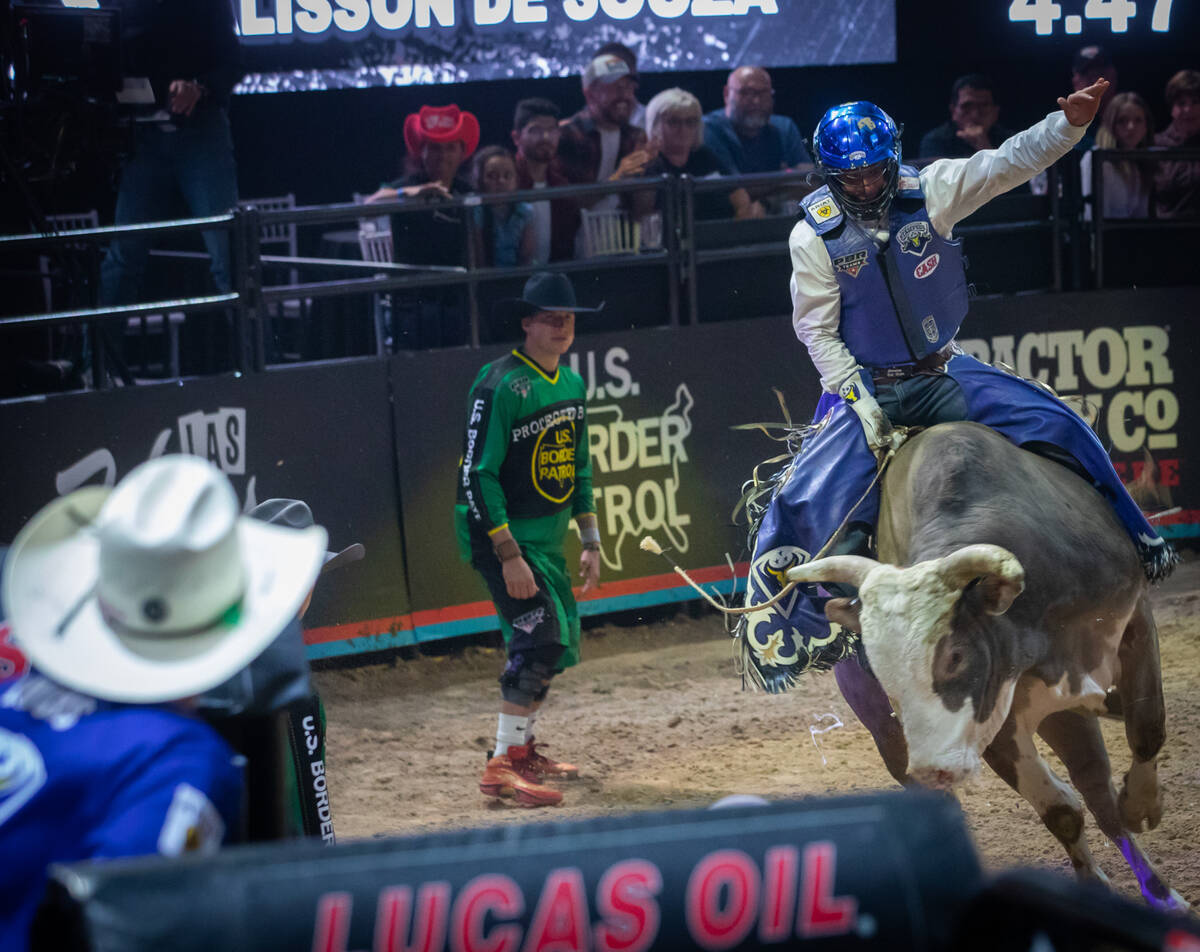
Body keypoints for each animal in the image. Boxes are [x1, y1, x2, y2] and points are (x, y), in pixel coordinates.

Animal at [782, 422, 1185, 907]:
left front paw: (1143, 807)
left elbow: (1147, 725)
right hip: (892, 734)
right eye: (879, 666)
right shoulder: (992, 712)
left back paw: (1161, 894)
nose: (933, 767)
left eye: (955, 654)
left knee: (1099, 789)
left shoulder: (1135, 620)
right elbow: (1061, 810)